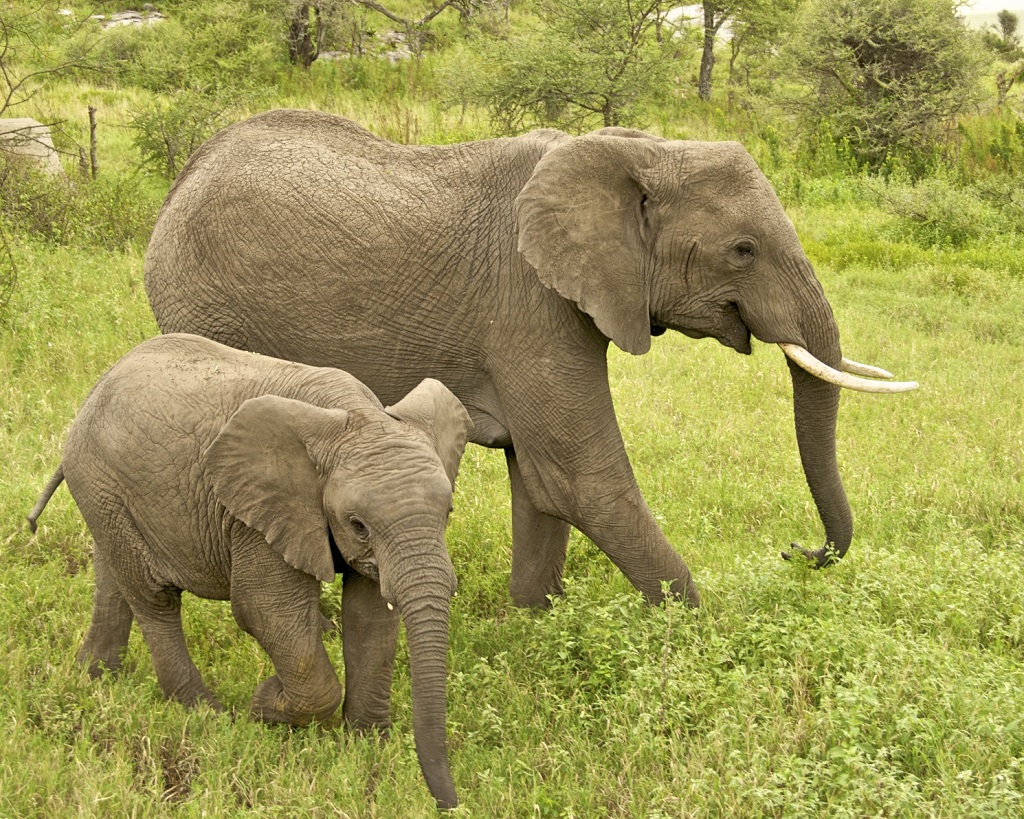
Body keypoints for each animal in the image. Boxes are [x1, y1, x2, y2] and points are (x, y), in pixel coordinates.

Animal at [25, 331, 468, 806]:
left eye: (448, 512)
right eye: (358, 525)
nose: (448, 804)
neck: (355, 416)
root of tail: (96, 389)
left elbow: (369, 618)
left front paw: (367, 746)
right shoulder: (256, 514)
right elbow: (266, 611)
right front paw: (265, 704)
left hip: (107, 494)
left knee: (114, 576)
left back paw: (95, 678)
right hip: (99, 478)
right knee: (153, 597)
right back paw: (206, 713)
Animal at [142, 108, 913, 606]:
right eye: (743, 250)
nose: (797, 551)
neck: (636, 151)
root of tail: (185, 177)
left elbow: (540, 482)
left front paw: (534, 620)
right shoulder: (529, 300)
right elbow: (582, 478)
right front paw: (698, 633)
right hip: (206, 306)